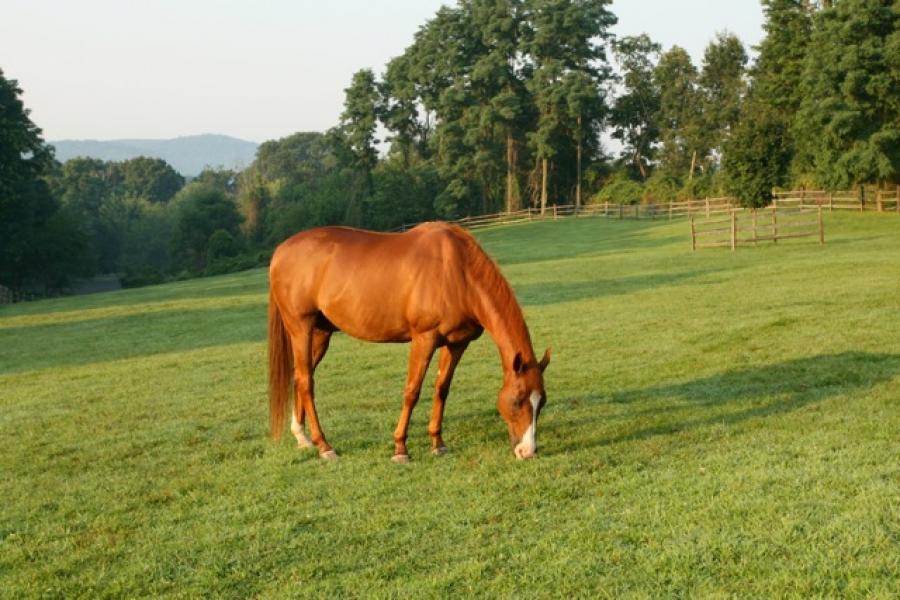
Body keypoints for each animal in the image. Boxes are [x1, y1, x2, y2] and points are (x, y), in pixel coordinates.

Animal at [268, 223, 548, 462]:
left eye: (542, 401)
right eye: (517, 400)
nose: (528, 451)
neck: (455, 271)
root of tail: (281, 251)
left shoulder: (457, 343)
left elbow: (442, 388)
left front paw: (438, 443)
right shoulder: (424, 338)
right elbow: (412, 391)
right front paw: (400, 448)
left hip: (320, 334)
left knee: (299, 376)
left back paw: (302, 438)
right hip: (300, 329)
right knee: (306, 382)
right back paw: (324, 446)